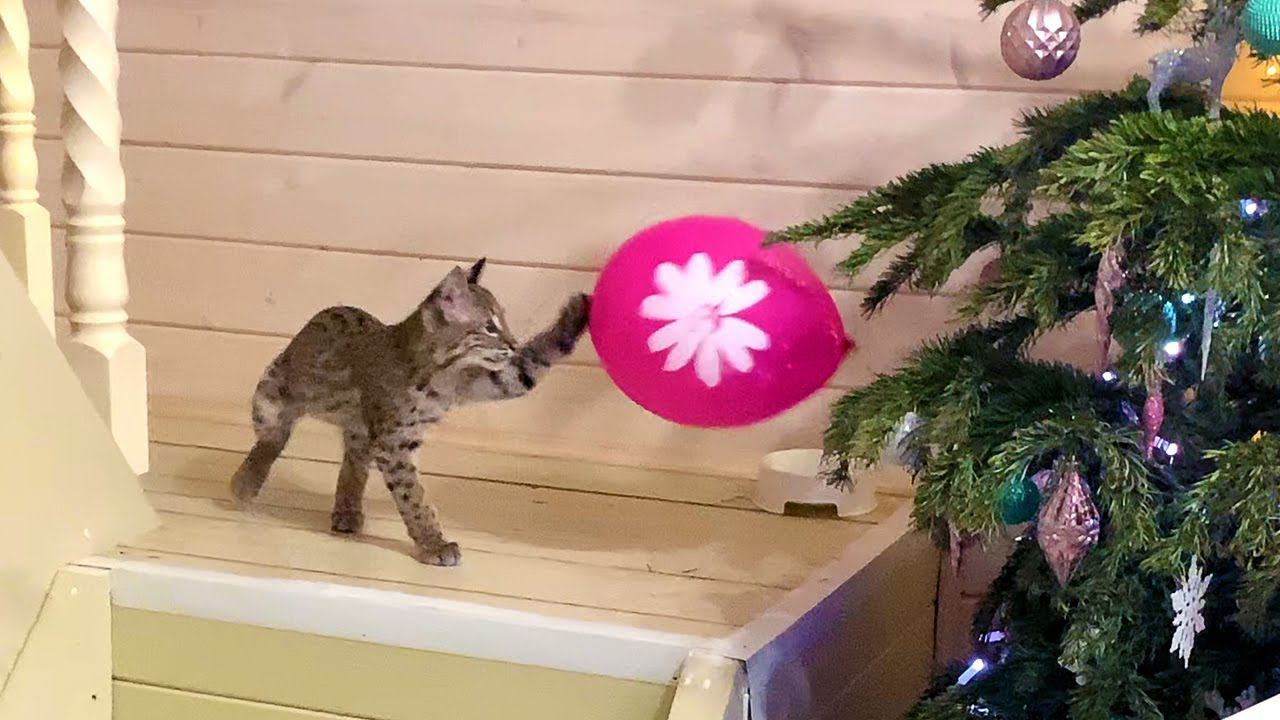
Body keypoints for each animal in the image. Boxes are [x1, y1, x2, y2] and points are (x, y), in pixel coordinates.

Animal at [229, 258, 590, 566]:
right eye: (489, 327)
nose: (513, 344)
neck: (440, 372)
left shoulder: (487, 382)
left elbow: (529, 366)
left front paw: (577, 312)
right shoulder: (394, 443)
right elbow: (414, 497)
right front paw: (434, 544)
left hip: (360, 427)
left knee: (354, 460)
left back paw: (347, 511)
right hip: (274, 385)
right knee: (275, 433)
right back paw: (247, 480)